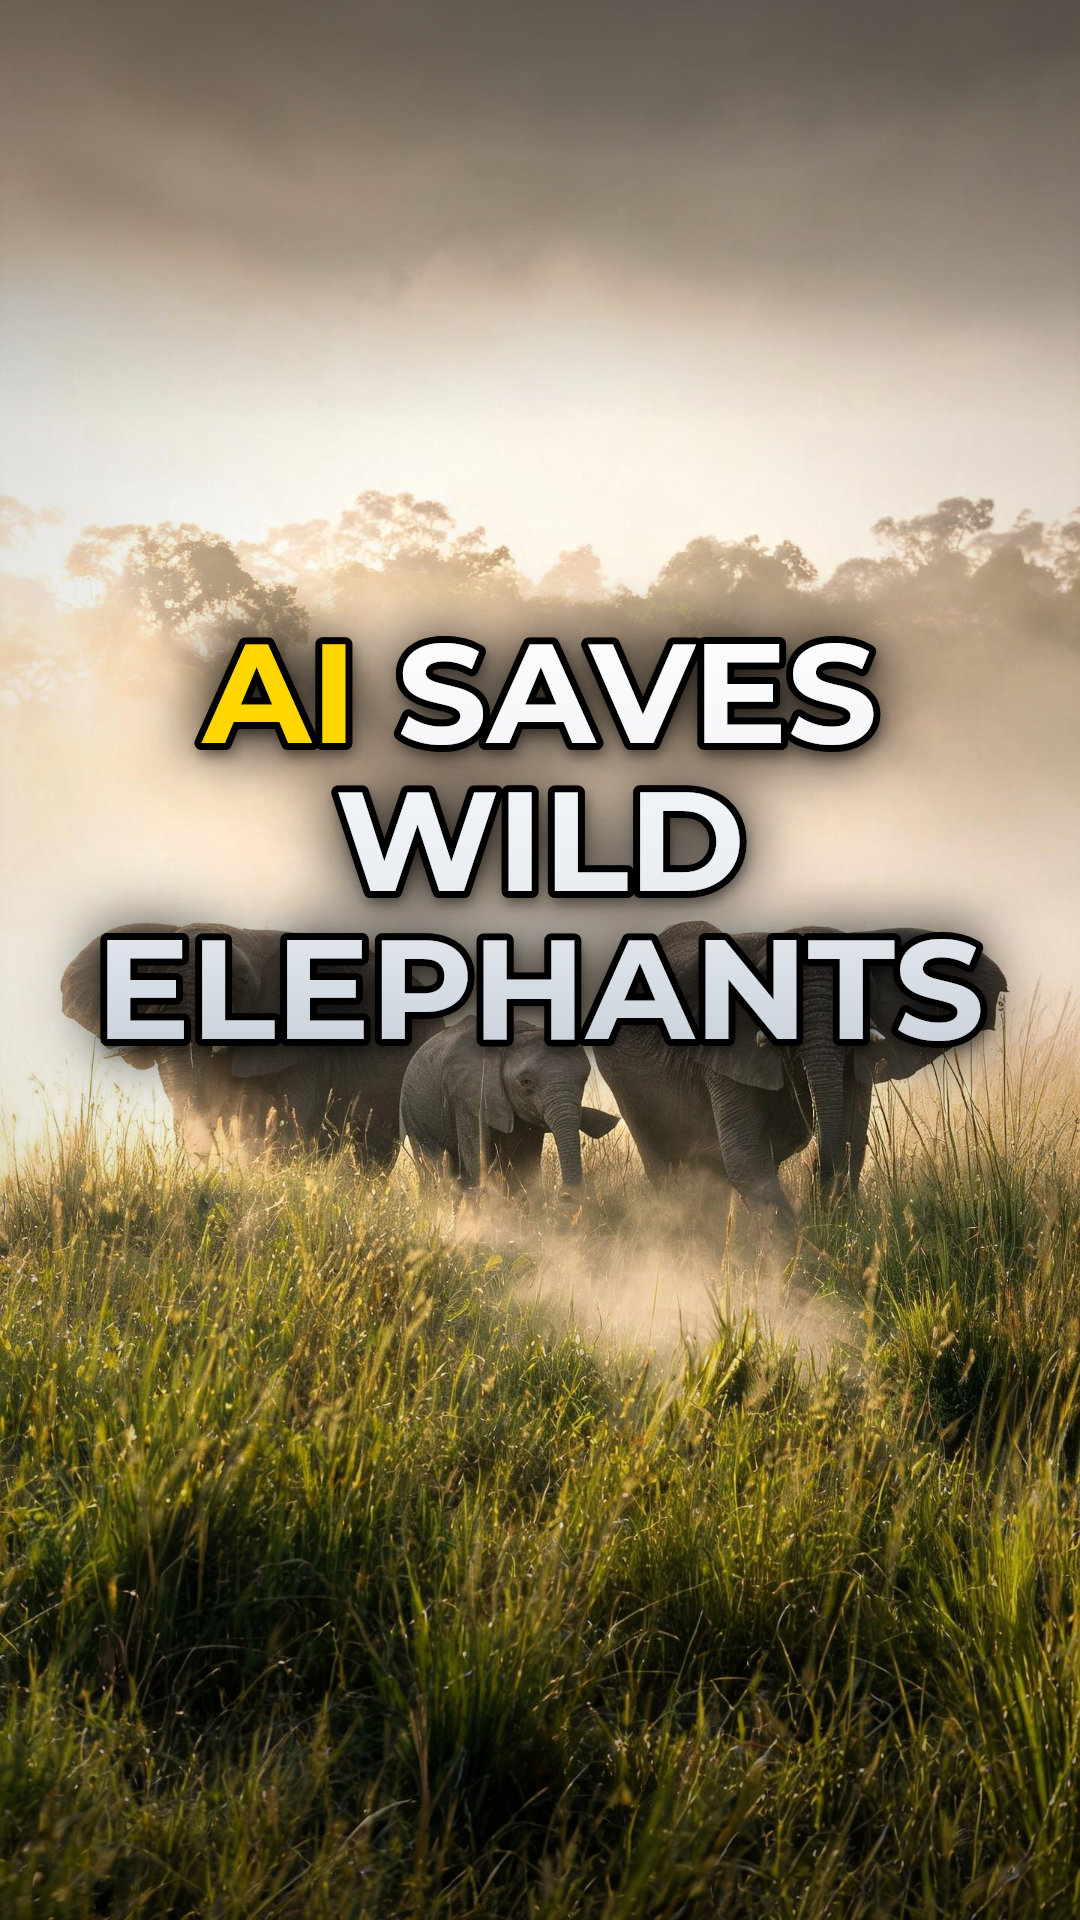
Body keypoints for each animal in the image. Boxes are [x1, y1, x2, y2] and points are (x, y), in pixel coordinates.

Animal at [399, 1019, 619, 1201]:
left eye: (584, 1080)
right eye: (526, 1082)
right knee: (430, 1161)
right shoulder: (466, 1093)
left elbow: (525, 1163)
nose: (566, 1197)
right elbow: (477, 1153)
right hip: (411, 1109)